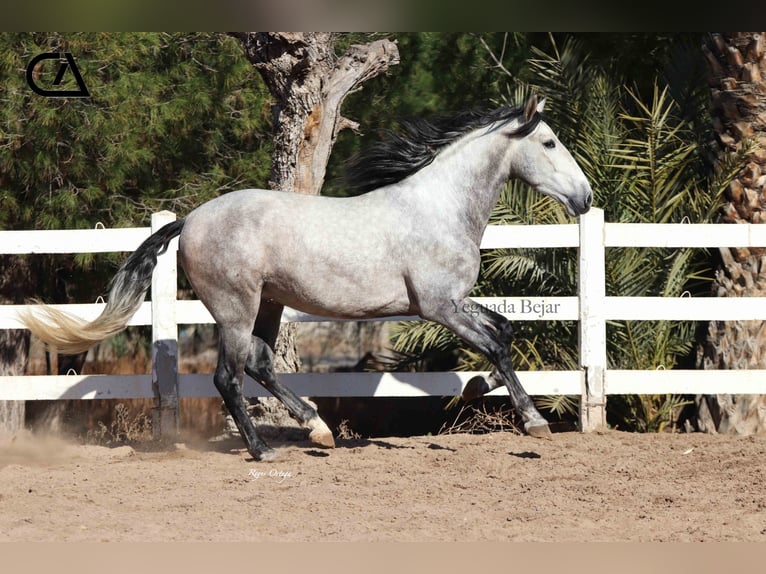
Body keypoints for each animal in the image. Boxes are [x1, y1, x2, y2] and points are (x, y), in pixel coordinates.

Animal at [19, 95, 592, 464]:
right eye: (549, 142)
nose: (585, 198)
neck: (438, 208)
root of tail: (191, 219)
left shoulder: (453, 303)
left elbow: (505, 332)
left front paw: (477, 388)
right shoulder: (439, 306)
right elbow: (497, 345)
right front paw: (533, 421)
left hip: (268, 305)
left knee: (260, 364)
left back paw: (318, 430)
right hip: (236, 308)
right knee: (229, 377)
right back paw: (264, 450)